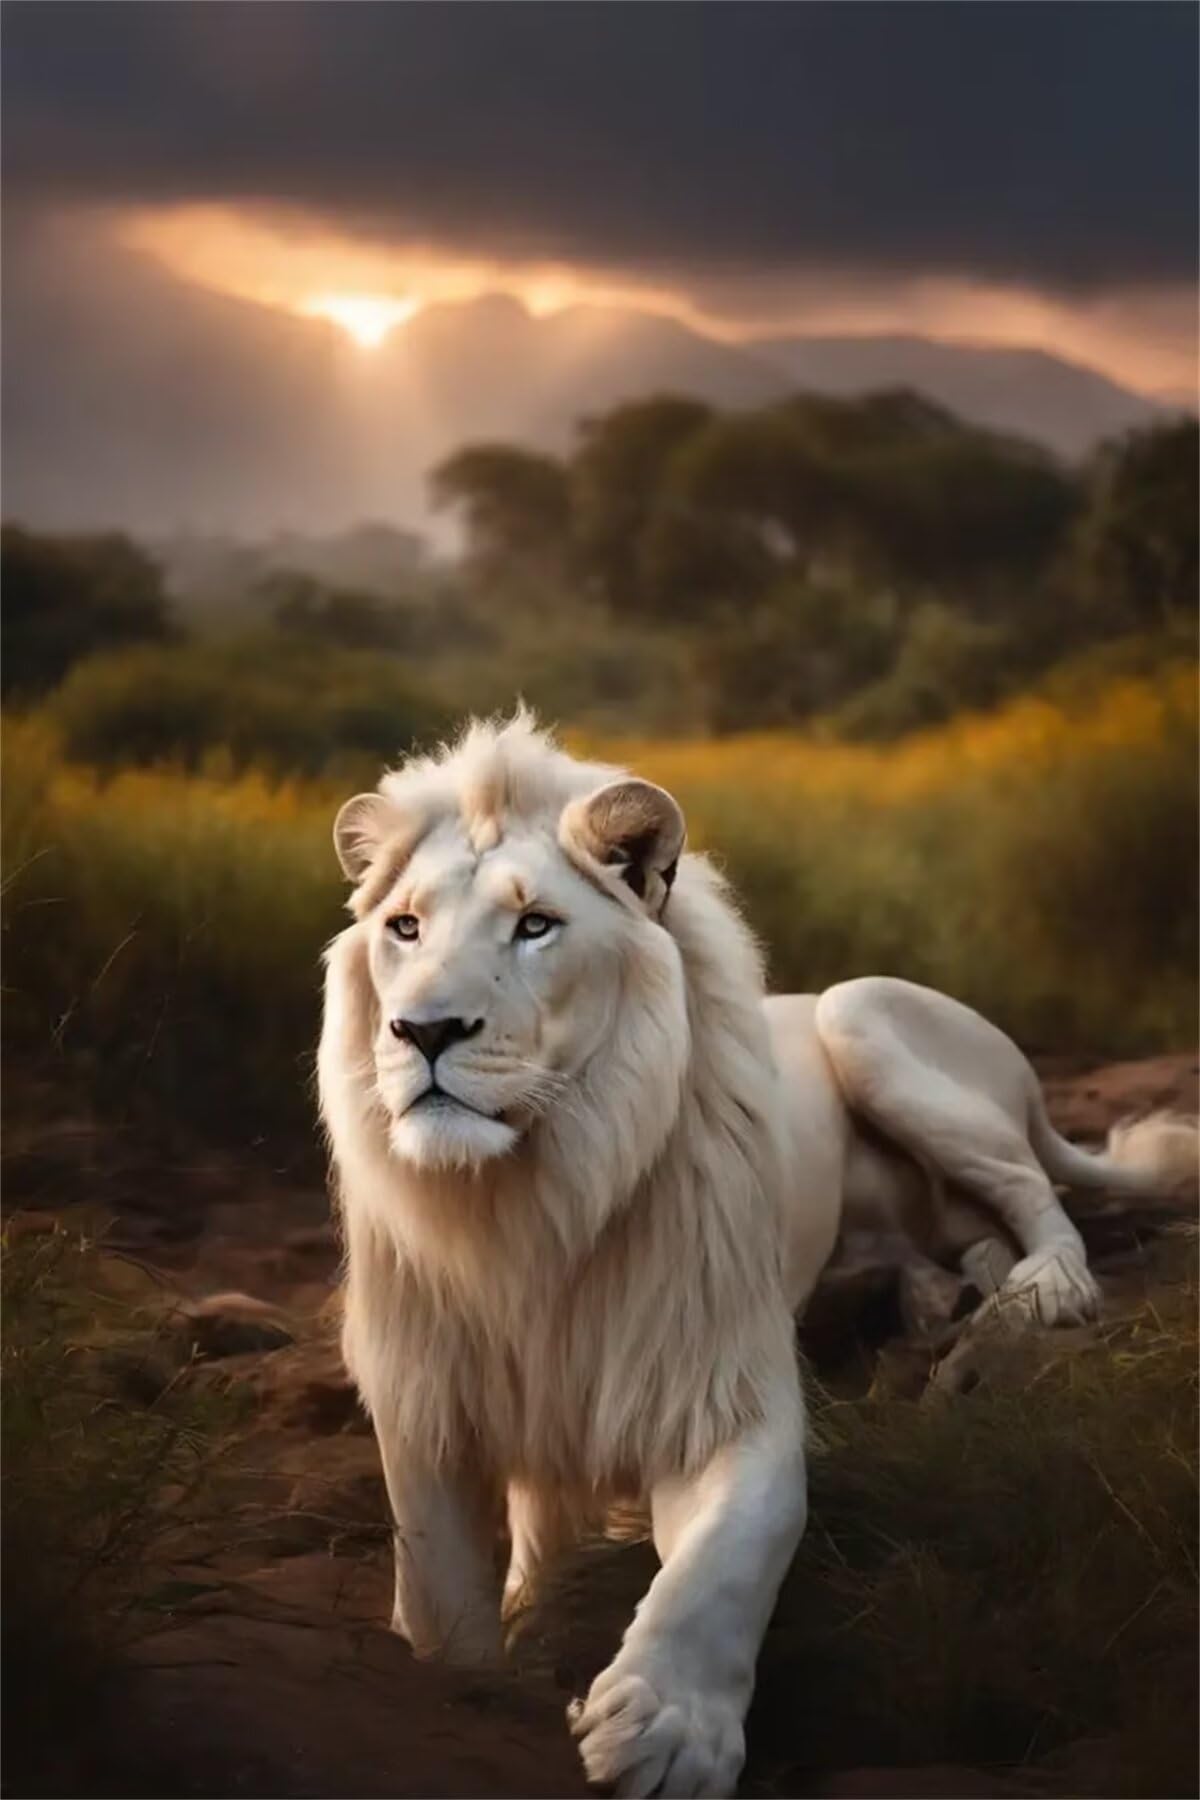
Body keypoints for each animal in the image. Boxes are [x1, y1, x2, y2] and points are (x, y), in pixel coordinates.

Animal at [318, 711, 1194, 1799]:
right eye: (404, 927)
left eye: (535, 926)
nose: (424, 1030)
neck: (530, 1199)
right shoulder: (427, 1405)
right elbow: (442, 1603)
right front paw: (500, 1652)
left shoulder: (716, 1385)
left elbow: (727, 1556)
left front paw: (666, 1729)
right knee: (971, 1231)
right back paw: (949, 1300)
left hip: (864, 1016)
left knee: (1041, 1197)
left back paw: (1035, 1295)